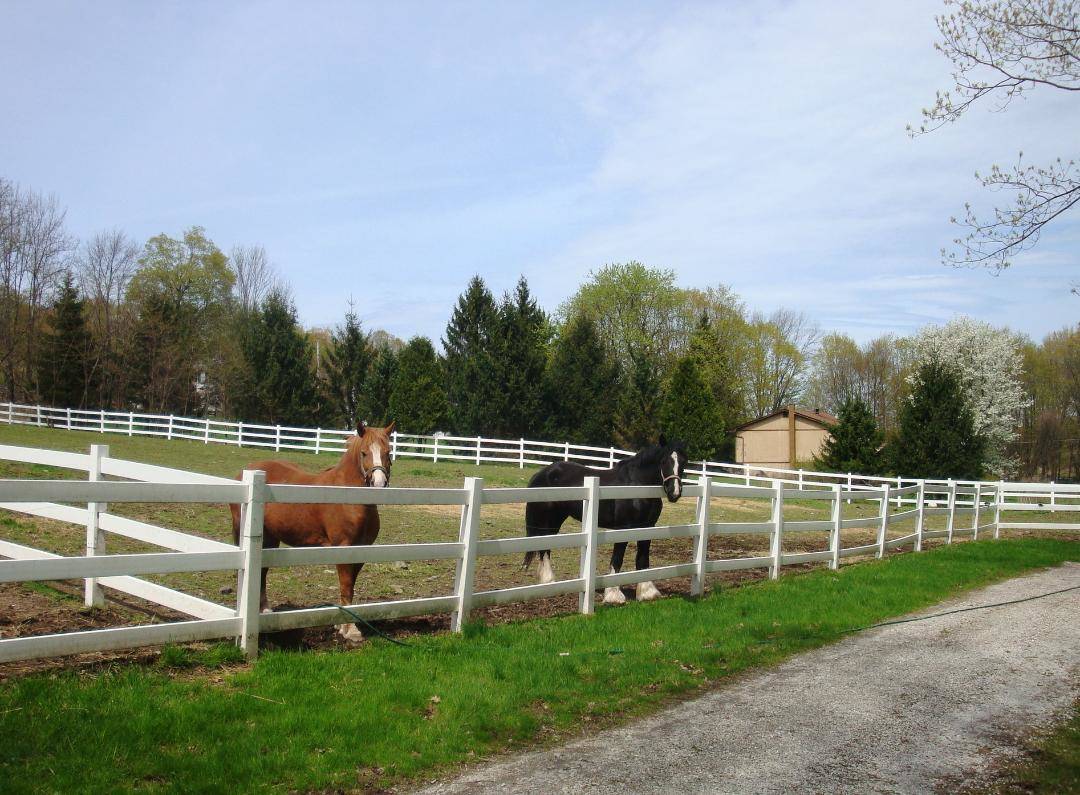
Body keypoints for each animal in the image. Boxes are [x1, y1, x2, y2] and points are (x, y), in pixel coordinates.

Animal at [229, 420, 395, 643]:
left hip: (270, 539)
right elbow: (346, 586)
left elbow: (350, 586)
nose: (379, 483)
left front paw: (341, 626)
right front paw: (350, 630)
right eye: (364, 453)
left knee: (262, 572)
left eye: (388, 452)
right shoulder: (343, 547)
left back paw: (264, 610)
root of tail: (246, 472)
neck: (348, 496)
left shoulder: (361, 550)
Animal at [523, 439, 687, 604]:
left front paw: (647, 592)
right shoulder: (624, 528)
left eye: (683, 462)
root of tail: (543, 472)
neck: (636, 485)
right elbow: (618, 558)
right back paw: (548, 581)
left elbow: (643, 558)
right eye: (663, 461)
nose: (674, 492)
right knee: (544, 547)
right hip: (549, 518)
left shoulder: (647, 527)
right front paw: (613, 595)